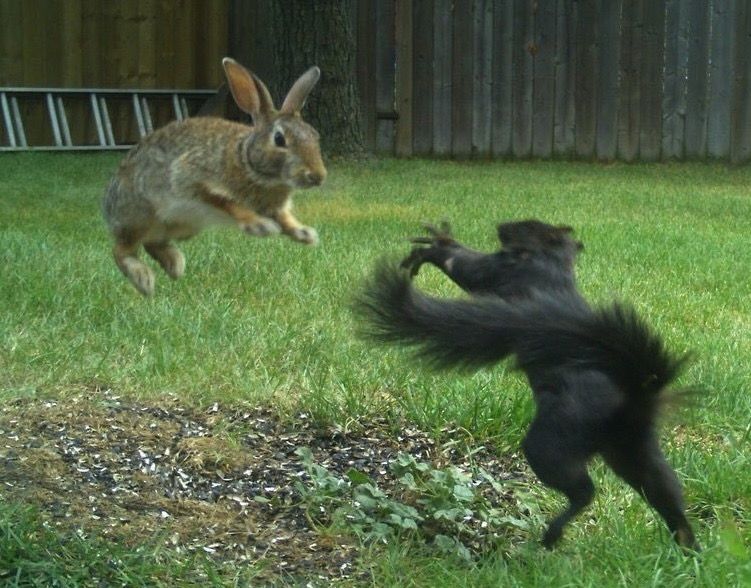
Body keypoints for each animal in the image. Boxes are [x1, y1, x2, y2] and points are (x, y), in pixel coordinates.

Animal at [102, 57, 327, 296]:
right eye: (279, 139)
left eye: (314, 135)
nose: (318, 176)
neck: (245, 159)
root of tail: (108, 208)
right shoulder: (190, 176)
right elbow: (225, 201)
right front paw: (259, 226)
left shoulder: (274, 208)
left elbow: (285, 219)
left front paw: (304, 234)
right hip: (141, 216)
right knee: (121, 249)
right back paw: (143, 279)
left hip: (181, 227)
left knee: (152, 244)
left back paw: (174, 265)